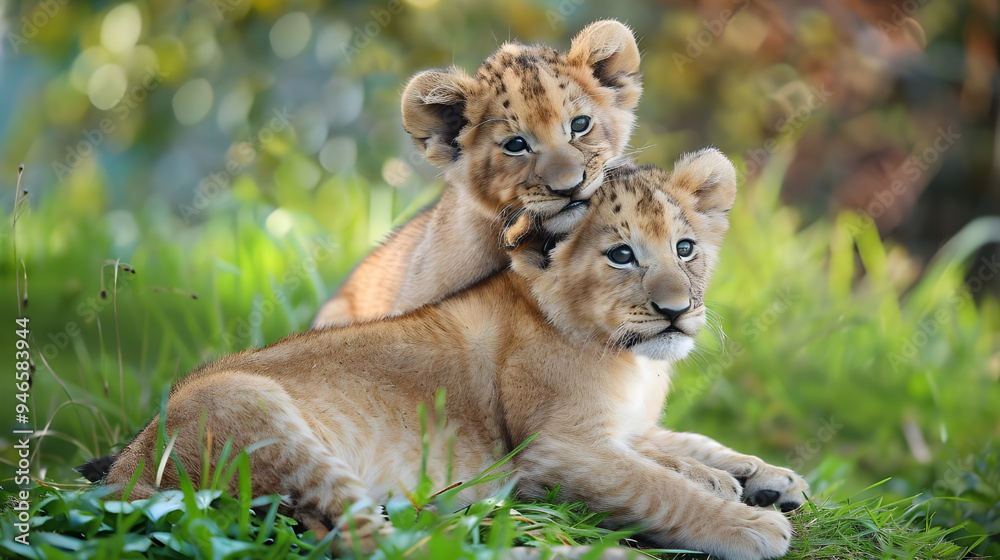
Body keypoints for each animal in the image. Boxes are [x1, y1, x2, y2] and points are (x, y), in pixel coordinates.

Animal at [98, 149, 807, 560]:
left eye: (685, 248)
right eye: (621, 255)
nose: (676, 310)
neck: (634, 361)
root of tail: (126, 475)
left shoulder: (621, 429)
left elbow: (684, 443)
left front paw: (764, 477)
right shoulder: (555, 450)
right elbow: (656, 486)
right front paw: (744, 521)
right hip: (253, 406)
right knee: (375, 540)